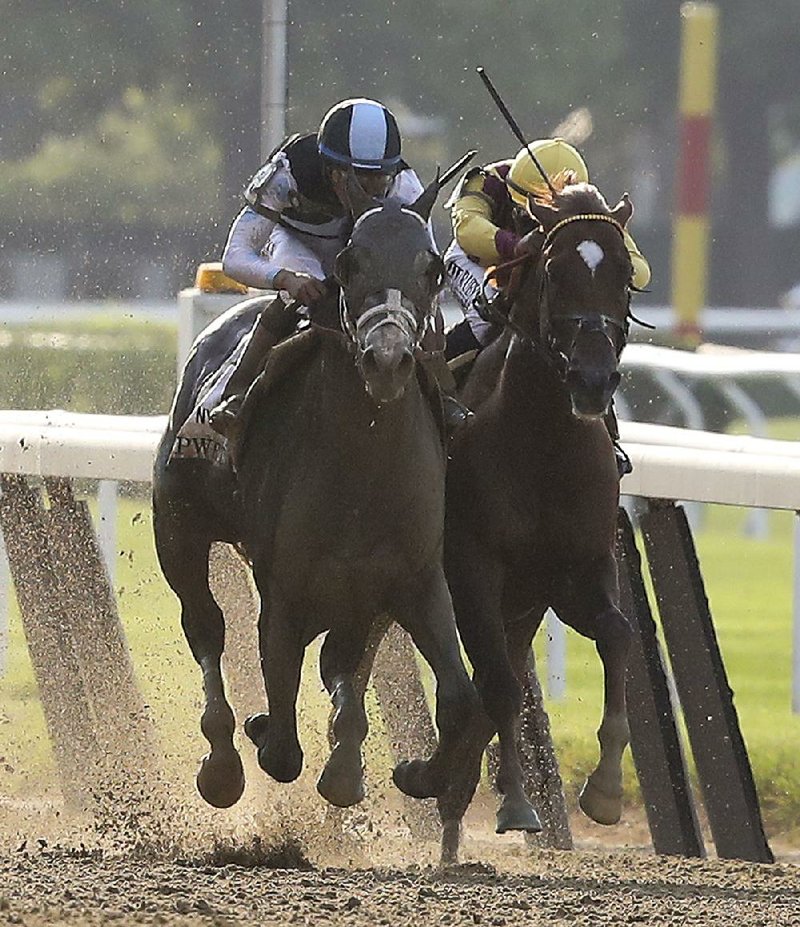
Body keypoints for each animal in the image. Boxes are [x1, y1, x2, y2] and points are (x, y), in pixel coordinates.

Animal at [153, 178, 478, 816]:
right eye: (348, 263)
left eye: (432, 269)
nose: (387, 359)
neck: (361, 475)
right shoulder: (285, 590)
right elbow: (281, 740)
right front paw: (260, 733)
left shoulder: (412, 581)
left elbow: (457, 697)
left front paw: (414, 774)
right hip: (176, 525)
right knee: (205, 626)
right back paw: (222, 762)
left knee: (337, 662)